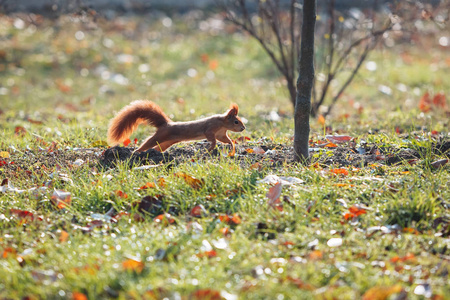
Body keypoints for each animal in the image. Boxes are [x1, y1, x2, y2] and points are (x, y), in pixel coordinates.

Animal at [107, 101, 244, 156]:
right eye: (236, 121)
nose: (243, 128)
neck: (222, 123)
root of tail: (166, 124)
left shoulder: (221, 133)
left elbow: (225, 139)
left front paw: (231, 145)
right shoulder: (210, 128)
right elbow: (211, 138)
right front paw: (210, 148)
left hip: (166, 142)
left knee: (157, 148)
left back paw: (155, 153)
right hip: (160, 136)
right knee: (147, 143)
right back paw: (136, 152)